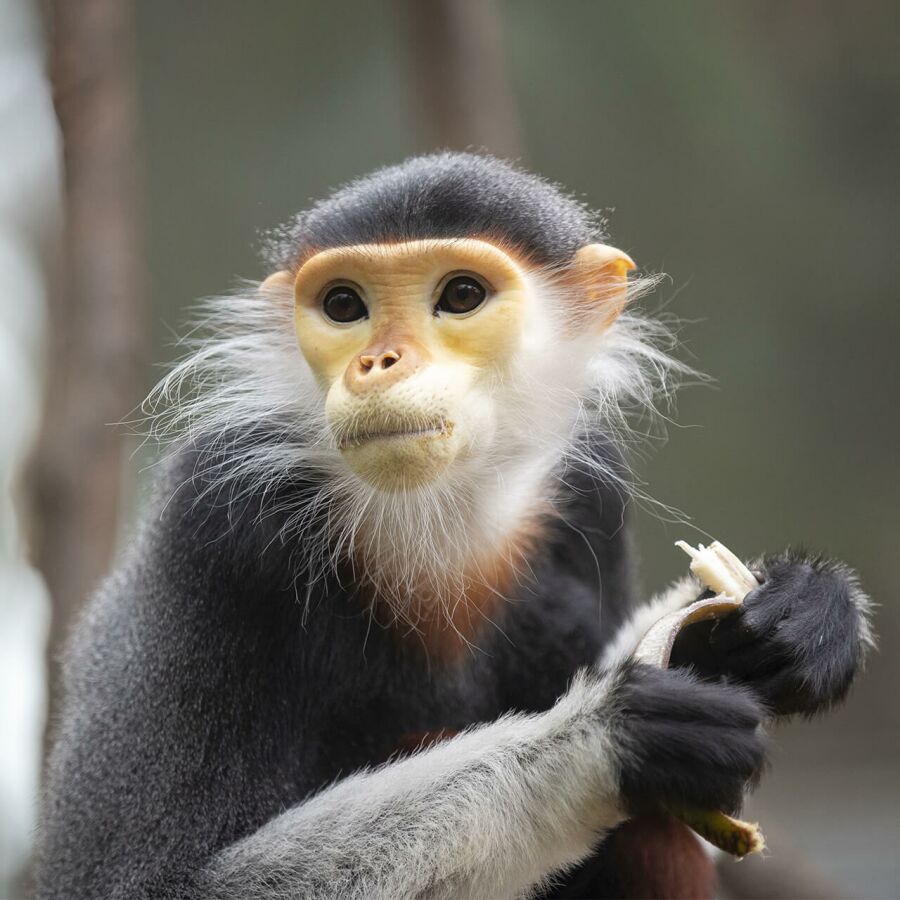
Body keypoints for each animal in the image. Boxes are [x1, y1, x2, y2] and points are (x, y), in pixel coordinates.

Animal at [37, 151, 872, 896]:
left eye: (461, 294)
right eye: (344, 306)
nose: (380, 362)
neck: (432, 510)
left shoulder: (592, 487)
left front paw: (786, 617)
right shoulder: (217, 516)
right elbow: (154, 882)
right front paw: (612, 736)